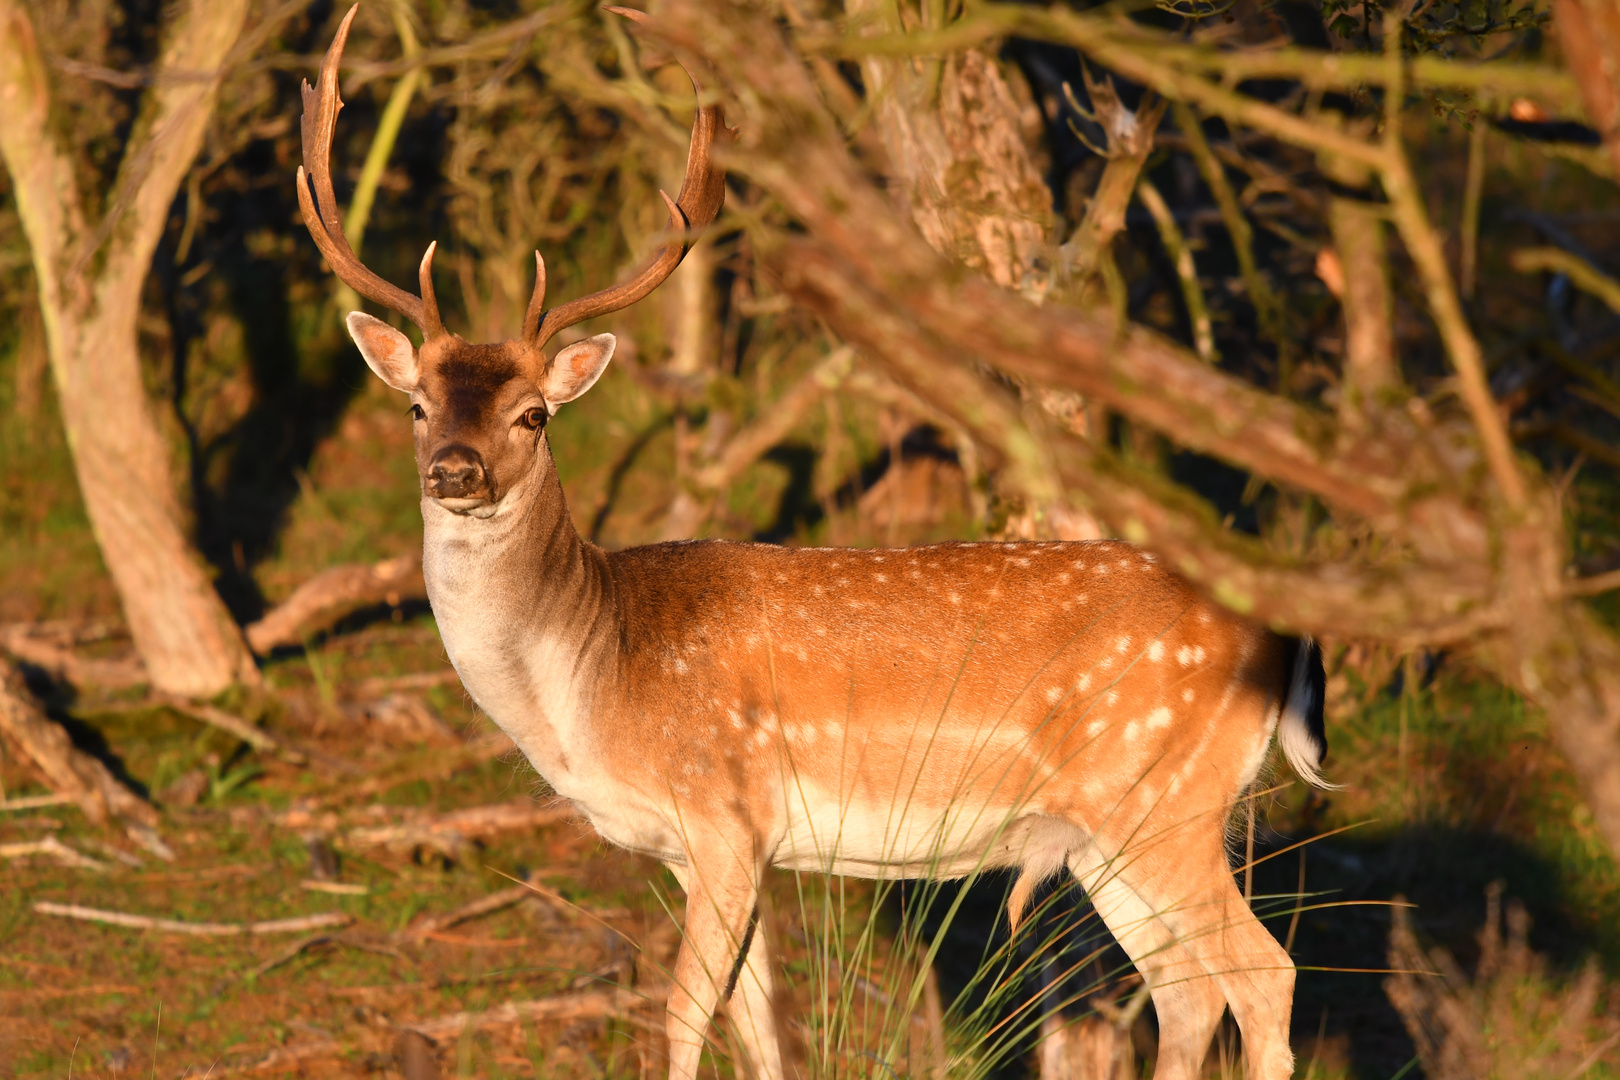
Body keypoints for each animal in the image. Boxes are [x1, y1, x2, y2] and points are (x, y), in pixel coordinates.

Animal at [301, 10, 1328, 1080]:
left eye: (534, 414)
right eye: (418, 405)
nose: (454, 469)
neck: (595, 682)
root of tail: (1292, 639)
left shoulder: (721, 811)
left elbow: (681, 1016)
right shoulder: (717, 852)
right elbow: (758, 1026)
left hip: (1164, 797)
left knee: (1262, 973)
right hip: (1108, 833)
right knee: (1185, 989)